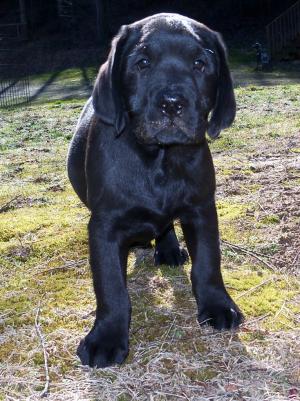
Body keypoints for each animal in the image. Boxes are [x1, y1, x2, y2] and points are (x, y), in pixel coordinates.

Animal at [67, 13, 244, 368]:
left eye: (200, 64)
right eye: (142, 63)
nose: (172, 104)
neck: (160, 158)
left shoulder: (201, 209)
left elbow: (208, 263)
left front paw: (217, 305)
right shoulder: (104, 226)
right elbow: (111, 287)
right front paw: (106, 338)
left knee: (166, 228)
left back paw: (169, 248)